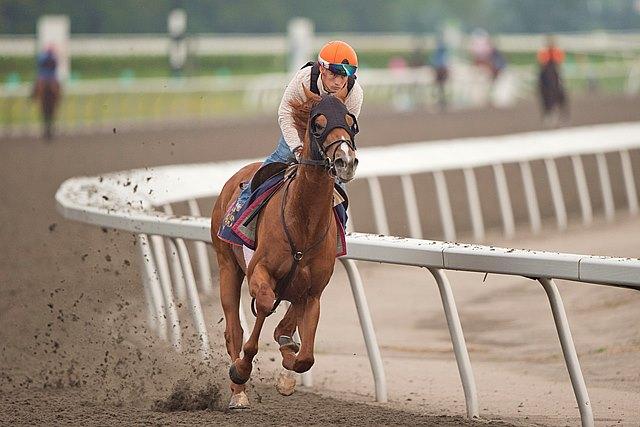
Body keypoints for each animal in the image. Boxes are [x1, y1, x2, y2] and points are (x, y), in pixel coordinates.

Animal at [210, 86, 359, 409]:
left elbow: (305, 357)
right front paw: (242, 369)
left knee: (285, 322)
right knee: (234, 330)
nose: (345, 161)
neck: (303, 222)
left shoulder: (313, 292)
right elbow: (264, 306)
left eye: (351, 122)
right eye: (318, 124)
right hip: (227, 266)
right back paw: (238, 391)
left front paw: (288, 372)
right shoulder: (260, 272)